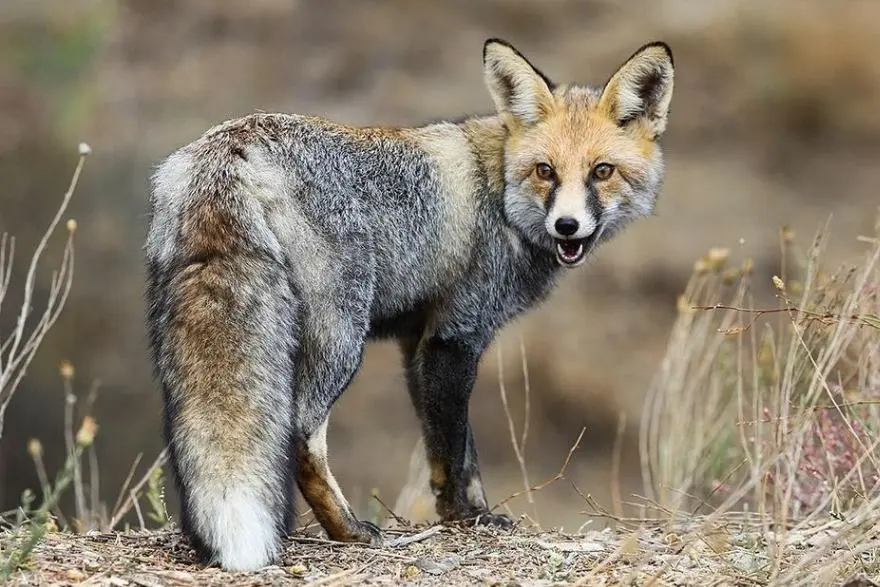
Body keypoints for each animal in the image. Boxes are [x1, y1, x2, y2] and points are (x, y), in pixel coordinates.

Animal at [146, 36, 672, 568]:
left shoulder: (416, 340)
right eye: (546, 171)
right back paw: (350, 531)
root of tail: (230, 146)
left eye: (601, 172)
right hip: (341, 337)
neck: (499, 192)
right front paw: (466, 517)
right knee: (301, 435)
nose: (567, 226)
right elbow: (455, 448)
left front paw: (465, 513)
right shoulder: (455, 336)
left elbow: (454, 449)